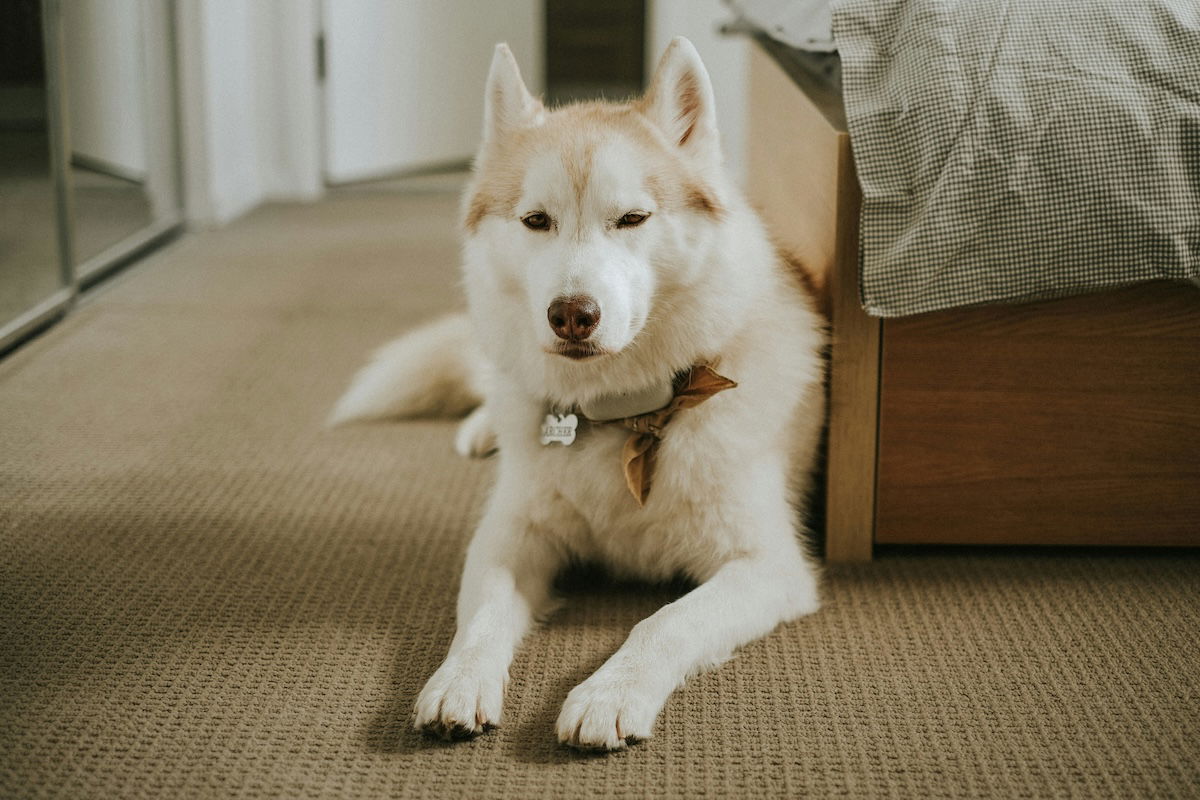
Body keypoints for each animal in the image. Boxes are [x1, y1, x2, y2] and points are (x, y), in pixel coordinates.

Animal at [333, 35, 830, 753]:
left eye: (632, 218)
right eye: (536, 220)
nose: (572, 315)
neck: (627, 413)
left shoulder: (767, 566)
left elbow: (664, 623)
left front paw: (611, 693)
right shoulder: (509, 538)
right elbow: (481, 619)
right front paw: (459, 681)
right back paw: (482, 427)